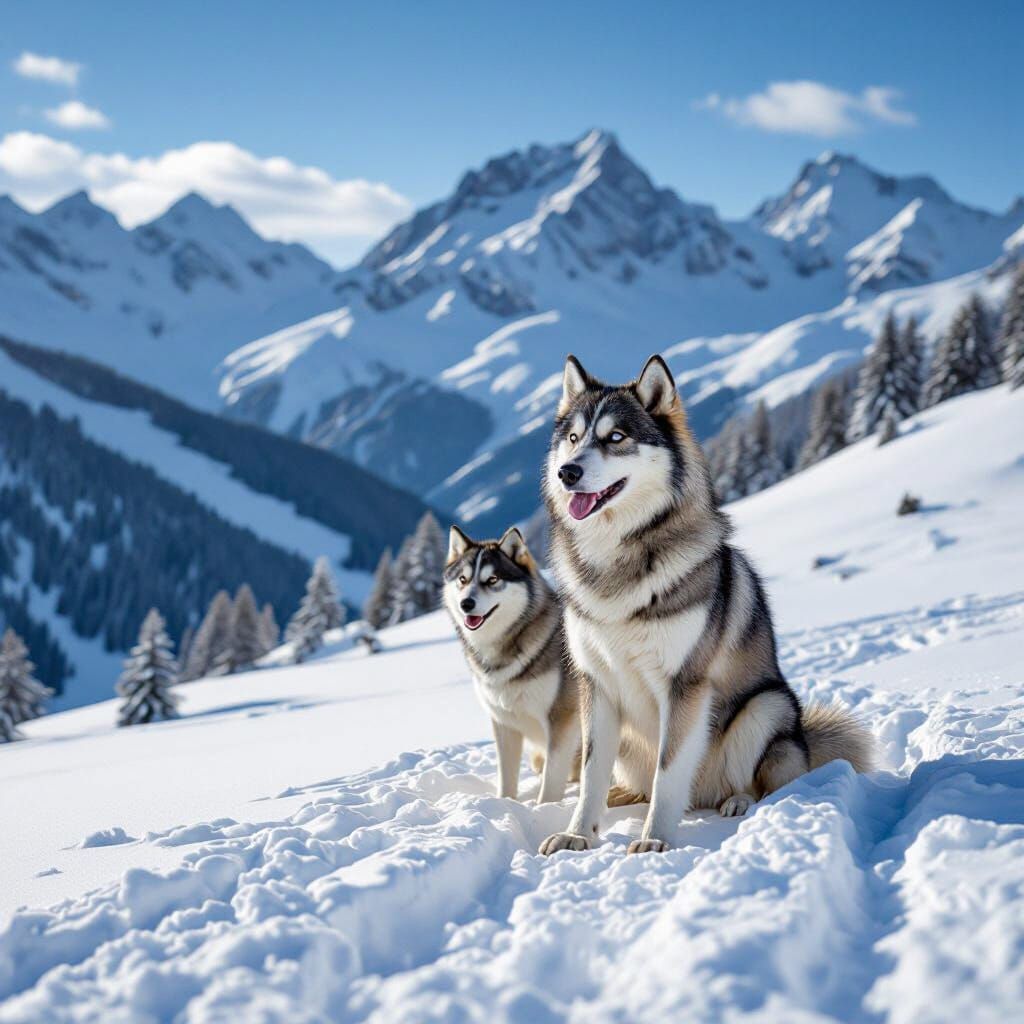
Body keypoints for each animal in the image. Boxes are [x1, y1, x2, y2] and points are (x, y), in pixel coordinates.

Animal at [444, 525, 581, 803]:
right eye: (462, 580)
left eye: (492, 580)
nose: (466, 604)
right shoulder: (503, 723)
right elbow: (506, 778)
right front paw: (505, 804)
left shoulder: (562, 720)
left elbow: (551, 783)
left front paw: (543, 809)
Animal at [538, 354, 873, 855]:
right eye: (574, 439)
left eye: (616, 437)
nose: (568, 473)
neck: (618, 561)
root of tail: (805, 746)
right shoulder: (596, 686)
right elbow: (591, 771)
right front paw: (577, 833)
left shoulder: (685, 686)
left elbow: (669, 772)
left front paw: (654, 840)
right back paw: (621, 797)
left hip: (765, 707)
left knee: (757, 782)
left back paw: (737, 801)